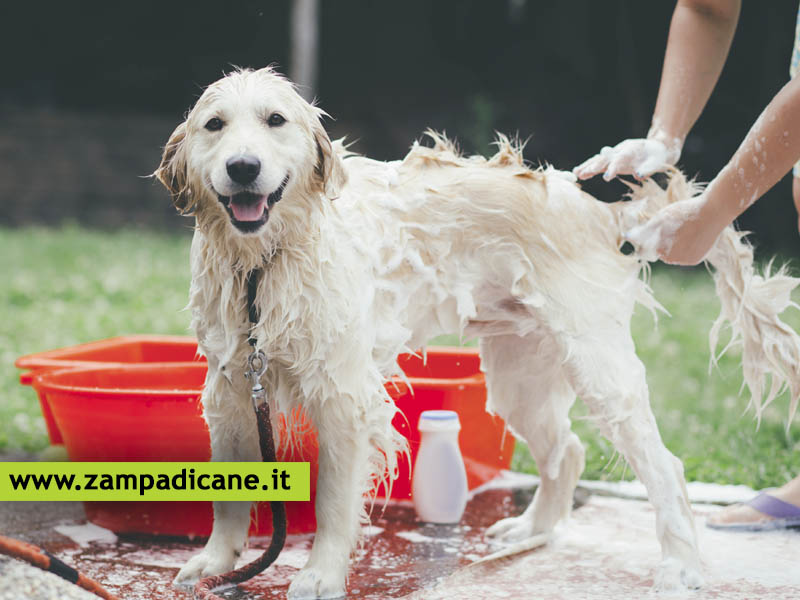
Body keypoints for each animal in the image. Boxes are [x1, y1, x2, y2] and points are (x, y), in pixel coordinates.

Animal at [156, 68, 800, 596]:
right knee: (567, 449)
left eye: (275, 120)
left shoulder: (344, 395)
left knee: (665, 467)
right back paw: (533, 529)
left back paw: (681, 566)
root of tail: (599, 211)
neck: (263, 265)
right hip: (521, 378)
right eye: (215, 125)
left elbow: (336, 500)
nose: (243, 167)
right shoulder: (231, 391)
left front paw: (320, 575)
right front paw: (217, 563)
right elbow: (229, 499)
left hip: (599, 368)